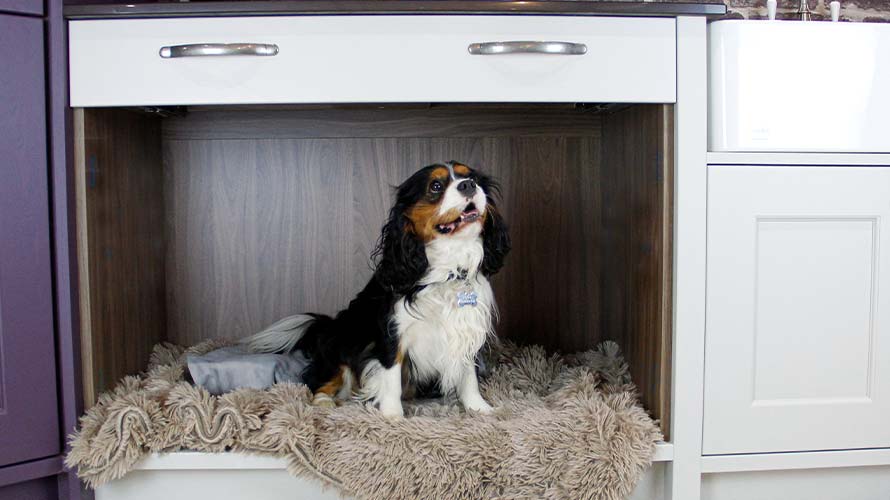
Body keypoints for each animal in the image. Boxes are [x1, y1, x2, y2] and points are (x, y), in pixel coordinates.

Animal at [245, 162, 506, 416]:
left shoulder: (466, 328)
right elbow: (391, 376)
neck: (449, 269)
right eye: (436, 186)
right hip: (341, 344)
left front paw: (479, 409)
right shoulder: (392, 333)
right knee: (323, 380)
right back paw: (325, 402)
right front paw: (392, 415)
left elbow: (468, 375)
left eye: (472, 177)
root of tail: (328, 326)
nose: (468, 185)